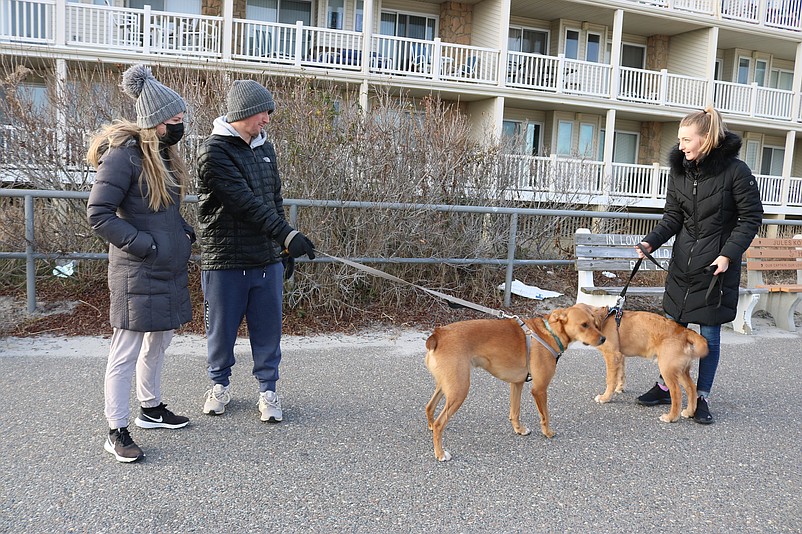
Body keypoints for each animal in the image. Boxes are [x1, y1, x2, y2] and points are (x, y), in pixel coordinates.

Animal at [422, 308, 604, 462]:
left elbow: (514, 412)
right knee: (439, 424)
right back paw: (440, 453)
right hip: (459, 390)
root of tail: (438, 334)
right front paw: (548, 433)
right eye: (584, 325)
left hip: (447, 386)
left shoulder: (517, 384)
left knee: (429, 407)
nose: (603, 339)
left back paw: (430, 427)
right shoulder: (539, 390)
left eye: (595, 323)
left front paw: (519, 429)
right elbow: (545, 416)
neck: (550, 333)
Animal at [576, 306, 708, 422]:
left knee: (677, 393)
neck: (605, 319)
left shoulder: (612, 355)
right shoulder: (620, 356)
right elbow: (621, 374)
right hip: (680, 370)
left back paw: (671, 417)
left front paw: (605, 397)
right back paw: (689, 412)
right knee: (691, 388)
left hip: (667, 369)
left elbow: (610, 380)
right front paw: (619, 388)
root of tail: (684, 331)